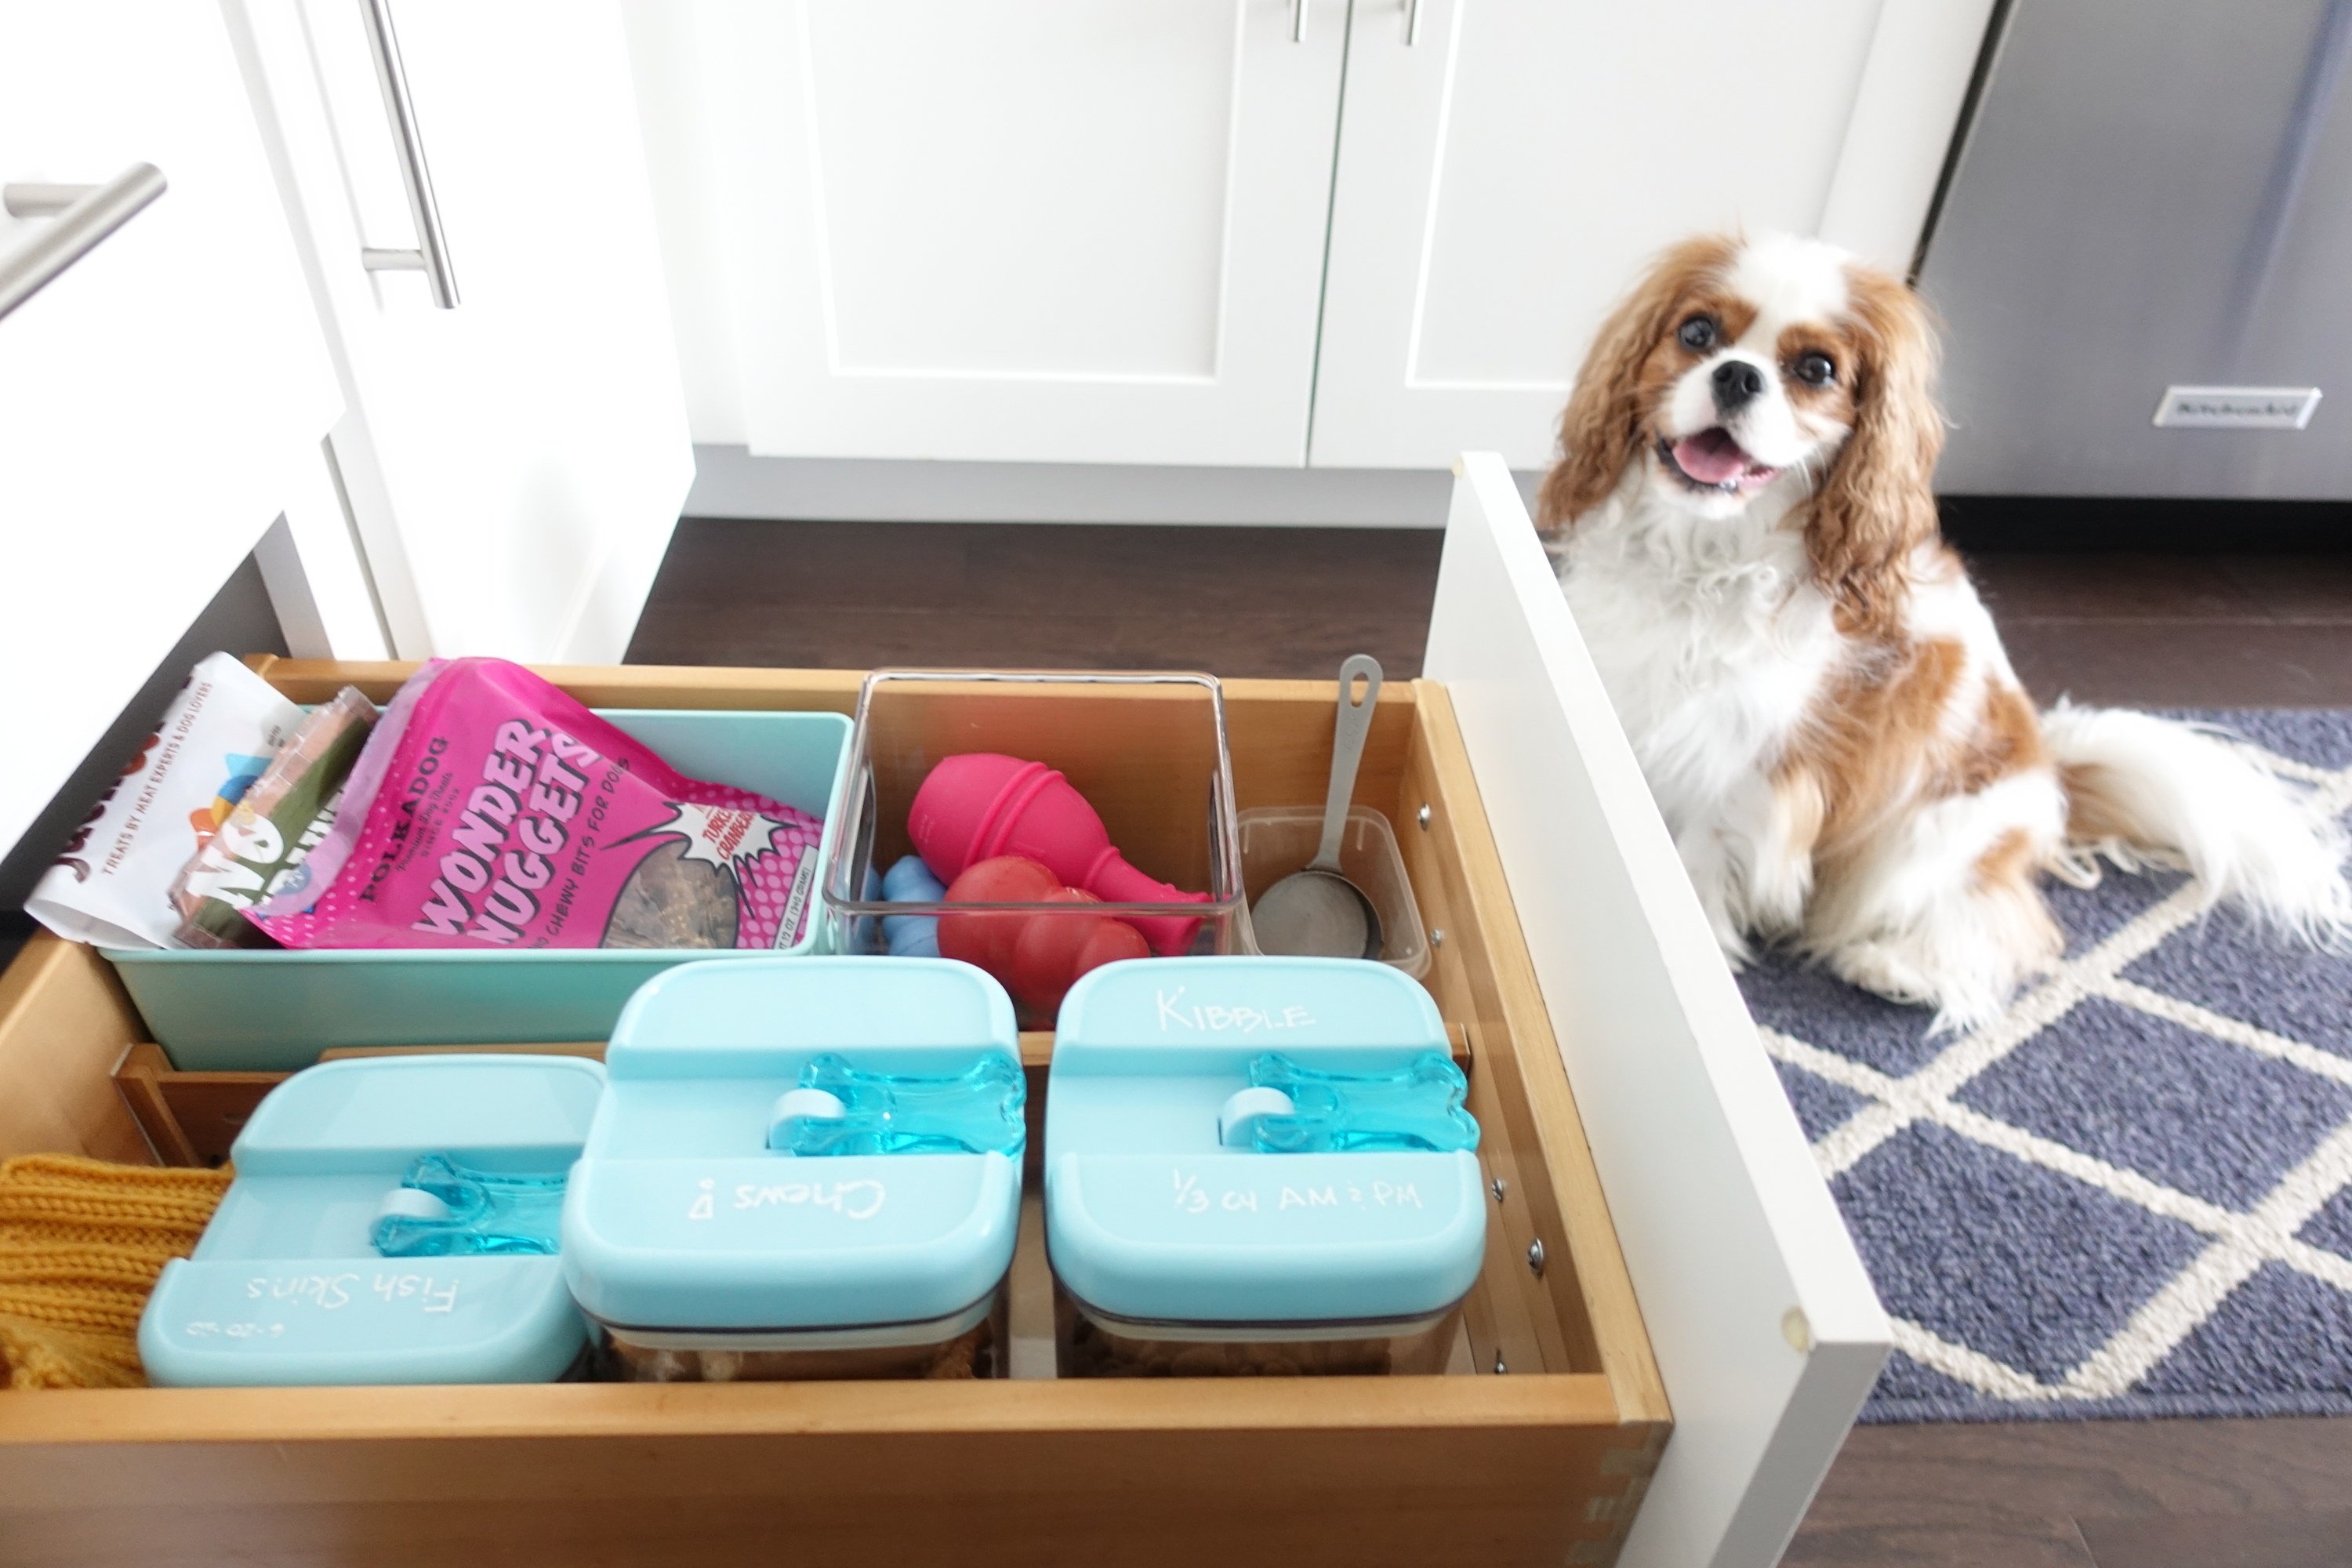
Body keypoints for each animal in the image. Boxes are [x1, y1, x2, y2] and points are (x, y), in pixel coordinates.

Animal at [1543, 232, 2352, 1034]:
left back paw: (1901, 968)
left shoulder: (1741, 766)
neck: (1700, 559)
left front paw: (1698, 946)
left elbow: (1698, 860)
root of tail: (2053, 772)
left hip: (1932, 839)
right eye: (1697, 333)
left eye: (1817, 370)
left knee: (2002, 920)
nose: (1738, 375)